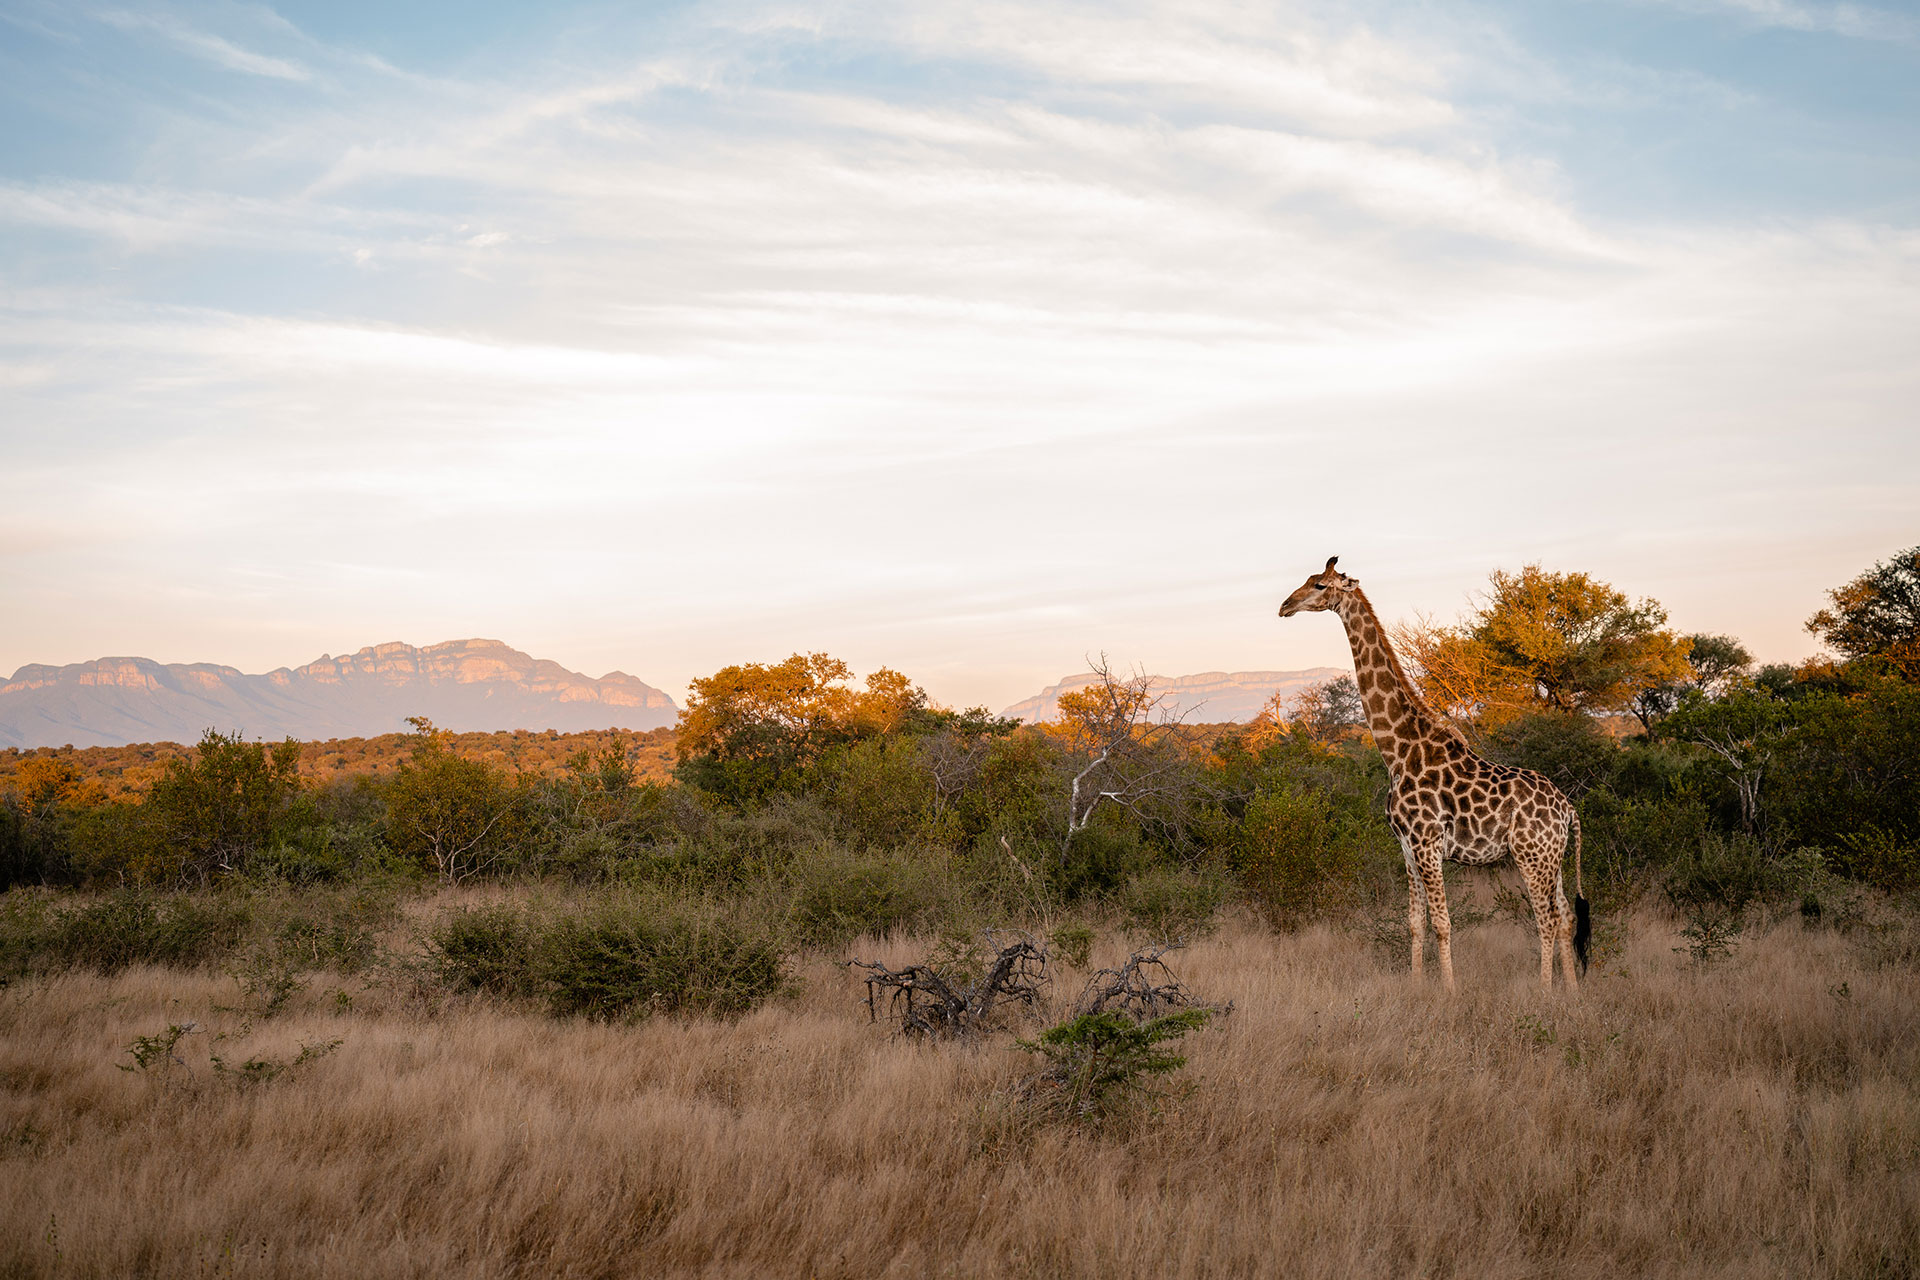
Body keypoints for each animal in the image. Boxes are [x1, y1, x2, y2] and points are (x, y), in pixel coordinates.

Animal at [1278, 557, 1588, 991]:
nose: (1285, 606)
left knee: (1547, 918)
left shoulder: (1427, 843)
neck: (1398, 752)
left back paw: (1544, 990)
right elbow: (1414, 922)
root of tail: (1568, 809)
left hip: (1531, 855)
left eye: (1320, 585)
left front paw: (1449, 991)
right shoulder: (1407, 848)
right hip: (1553, 858)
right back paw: (1572, 991)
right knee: (1567, 915)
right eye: (1308, 580)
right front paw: (1416, 985)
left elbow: (1443, 923)